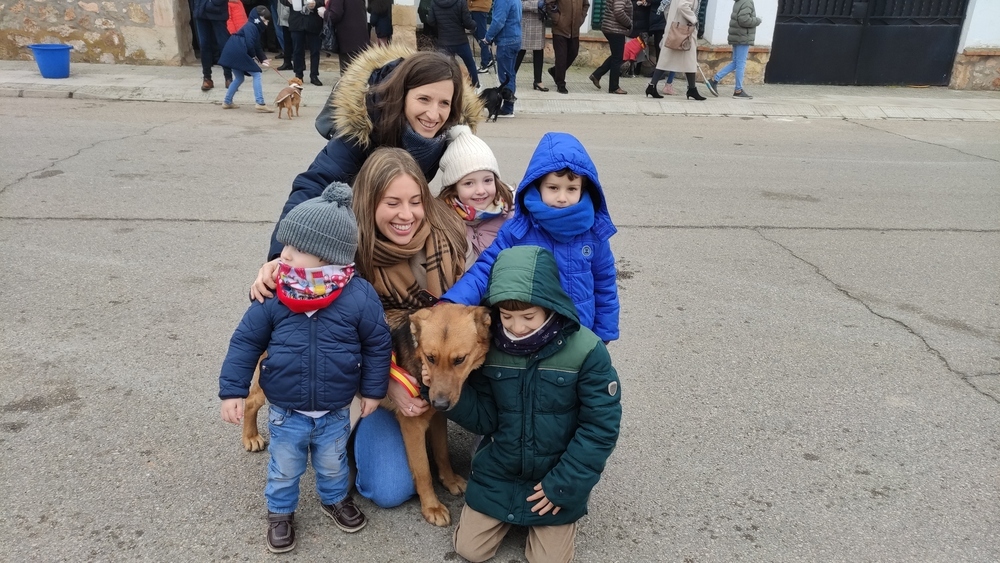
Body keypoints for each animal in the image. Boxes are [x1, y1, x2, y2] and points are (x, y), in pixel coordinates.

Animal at [240, 304, 494, 528]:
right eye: (431, 358)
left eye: (459, 359)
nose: (439, 403)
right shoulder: (413, 425)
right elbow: (422, 471)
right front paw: (431, 506)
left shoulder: (437, 418)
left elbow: (442, 453)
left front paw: (449, 480)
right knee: (250, 402)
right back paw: (250, 437)